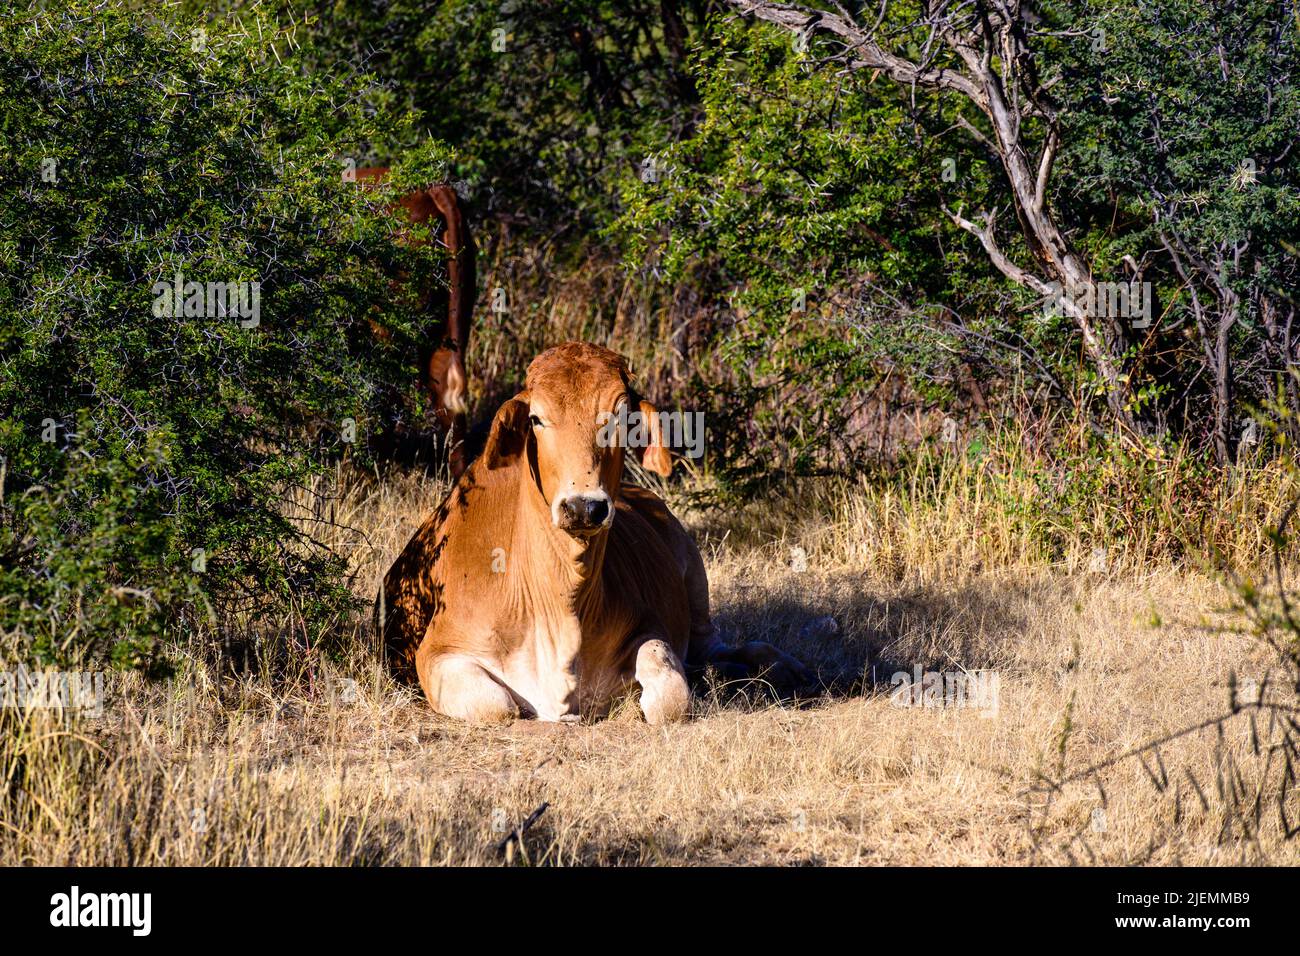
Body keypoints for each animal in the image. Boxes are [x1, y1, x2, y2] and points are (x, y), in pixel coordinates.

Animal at [377, 340, 811, 723]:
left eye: (622, 417)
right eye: (536, 418)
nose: (584, 506)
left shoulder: (650, 629)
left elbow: (669, 691)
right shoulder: (439, 652)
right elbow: (498, 706)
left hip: (696, 581)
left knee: (721, 647)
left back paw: (781, 666)